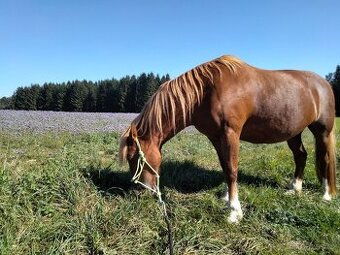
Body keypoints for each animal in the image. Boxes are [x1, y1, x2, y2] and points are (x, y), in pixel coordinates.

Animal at [118, 54, 336, 222]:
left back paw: (326, 194)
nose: (140, 192)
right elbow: (225, 166)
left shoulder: (230, 133)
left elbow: (232, 170)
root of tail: (323, 84)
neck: (205, 92)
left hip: (322, 131)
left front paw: (234, 212)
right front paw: (226, 198)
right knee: (301, 155)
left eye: (135, 157)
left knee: (325, 158)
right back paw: (295, 187)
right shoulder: (216, 137)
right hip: (294, 132)